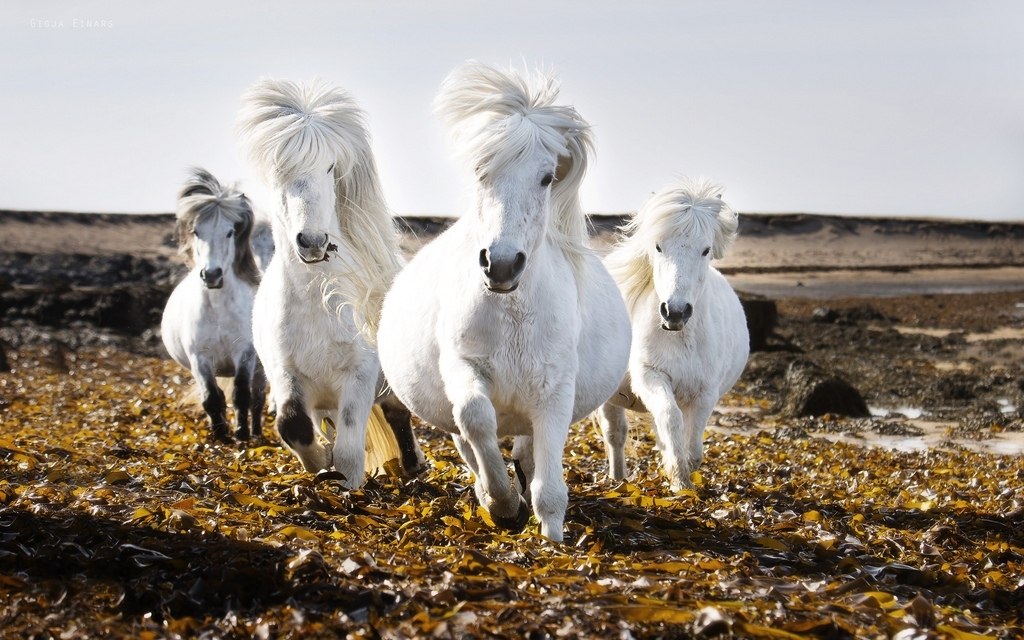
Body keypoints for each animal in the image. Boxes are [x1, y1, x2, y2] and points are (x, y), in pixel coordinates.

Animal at [158, 166, 264, 442]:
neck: (218, 310)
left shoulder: (244, 353)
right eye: (196, 232)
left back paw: (257, 432)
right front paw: (220, 435)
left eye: (230, 232)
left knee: (258, 397)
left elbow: (242, 395)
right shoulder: (200, 358)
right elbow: (212, 398)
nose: (212, 275)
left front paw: (241, 434)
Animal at [235, 77, 423, 487]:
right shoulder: (286, 376)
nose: (312, 241)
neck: (318, 303)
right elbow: (293, 427)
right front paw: (320, 466)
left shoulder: (359, 377)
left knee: (398, 414)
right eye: (280, 170)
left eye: (329, 167)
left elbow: (351, 450)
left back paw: (414, 465)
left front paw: (347, 487)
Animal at [376, 61, 630, 540]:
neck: (514, 316)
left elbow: (549, 487)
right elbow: (476, 418)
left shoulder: (554, 390)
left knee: (527, 453)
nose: (502, 264)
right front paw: (502, 504)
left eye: (547, 177)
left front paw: (551, 536)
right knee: (471, 440)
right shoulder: (464, 369)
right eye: (480, 170)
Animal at [598, 177, 749, 491]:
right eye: (658, 246)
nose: (675, 312)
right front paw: (679, 479)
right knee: (616, 434)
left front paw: (685, 476)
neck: (681, 339)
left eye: (705, 250)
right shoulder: (651, 377)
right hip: (610, 397)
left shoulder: (705, 392)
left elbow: (693, 443)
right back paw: (618, 481)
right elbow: (670, 418)